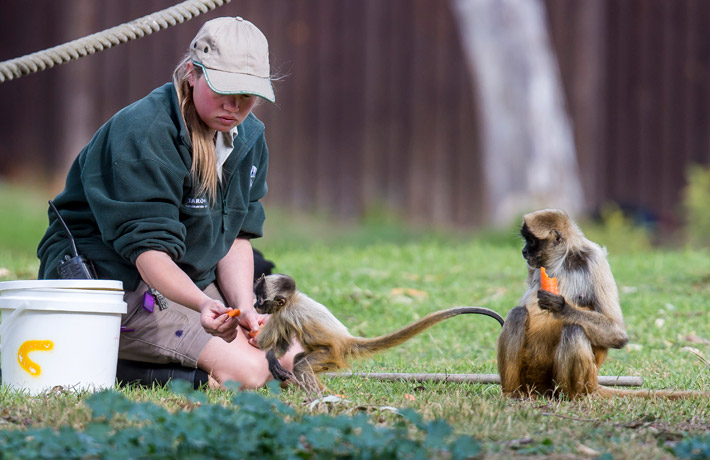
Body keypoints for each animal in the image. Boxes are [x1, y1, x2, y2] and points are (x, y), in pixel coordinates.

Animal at [253, 274, 504, 392]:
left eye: (259, 299)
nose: (254, 305)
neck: (293, 300)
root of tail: (346, 340)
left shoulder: (283, 314)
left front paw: (269, 355)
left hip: (331, 353)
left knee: (301, 366)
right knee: (299, 359)